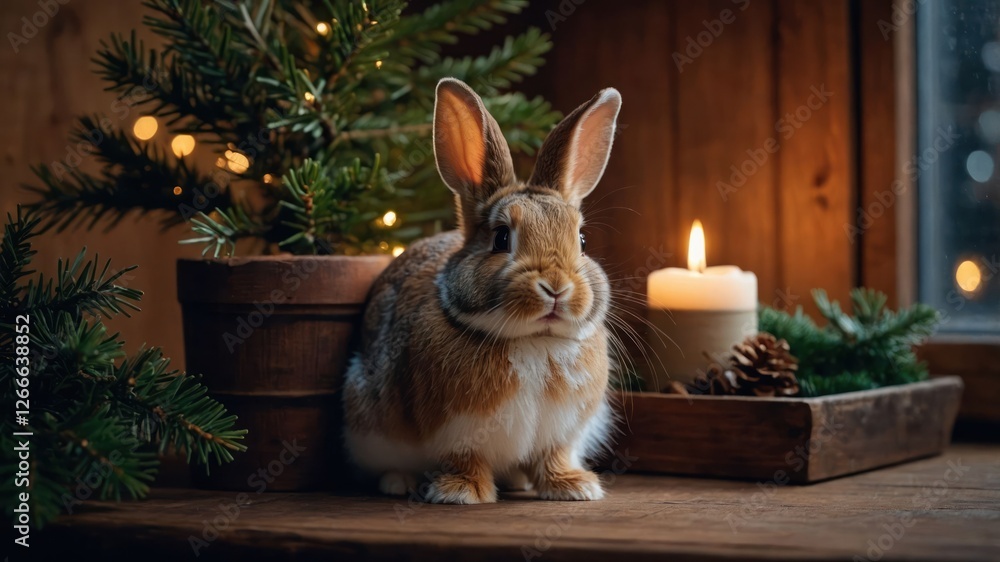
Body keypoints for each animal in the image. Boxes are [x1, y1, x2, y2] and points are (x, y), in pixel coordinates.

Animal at [348, 76, 620, 500]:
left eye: (582, 240)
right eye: (501, 238)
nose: (556, 288)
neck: (534, 341)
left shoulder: (561, 433)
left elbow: (553, 457)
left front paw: (574, 488)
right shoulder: (456, 433)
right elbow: (465, 459)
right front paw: (460, 492)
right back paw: (398, 483)